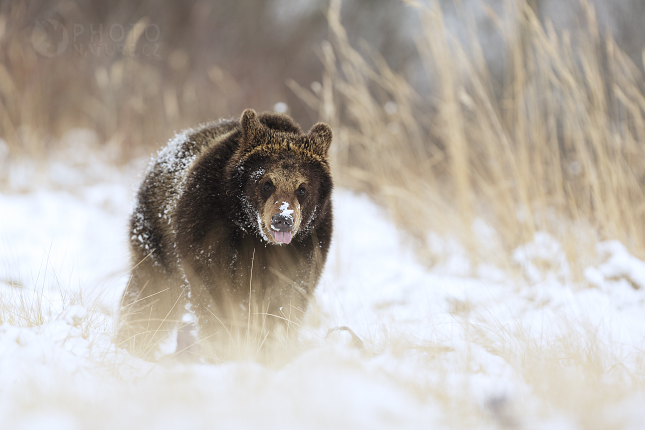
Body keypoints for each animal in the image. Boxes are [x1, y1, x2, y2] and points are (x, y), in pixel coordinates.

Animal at [116, 109, 334, 362]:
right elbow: (215, 297)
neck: (255, 235)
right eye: (266, 183)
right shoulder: (209, 231)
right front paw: (227, 346)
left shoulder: (306, 248)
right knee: (150, 296)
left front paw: (271, 349)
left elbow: (287, 300)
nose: (282, 220)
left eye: (302, 188)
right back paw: (129, 344)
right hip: (158, 243)